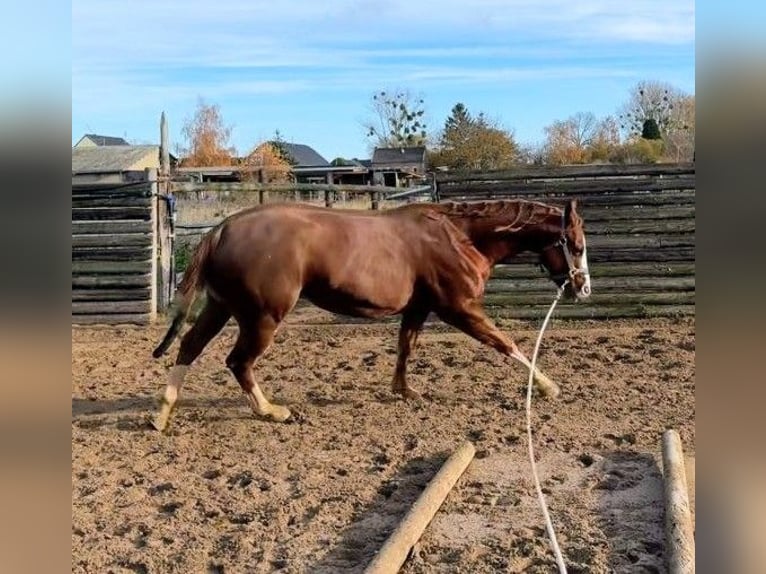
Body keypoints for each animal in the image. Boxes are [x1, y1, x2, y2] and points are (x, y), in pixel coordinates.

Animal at [150, 197, 591, 432]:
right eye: (577, 245)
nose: (583, 288)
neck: (459, 237)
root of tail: (221, 229)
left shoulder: (419, 307)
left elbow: (406, 347)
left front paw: (405, 391)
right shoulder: (459, 308)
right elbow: (505, 343)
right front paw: (548, 387)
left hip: (222, 307)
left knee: (189, 346)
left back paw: (162, 412)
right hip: (262, 317)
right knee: (237, 361)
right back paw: (270, 410)